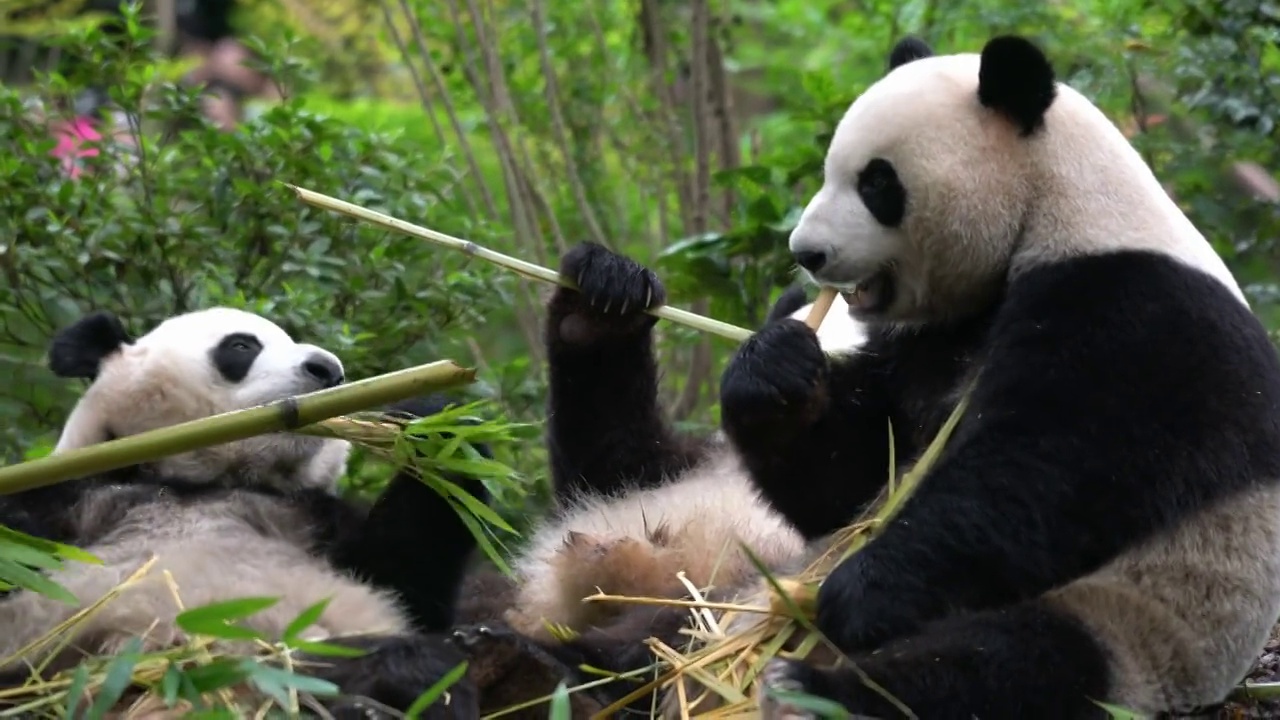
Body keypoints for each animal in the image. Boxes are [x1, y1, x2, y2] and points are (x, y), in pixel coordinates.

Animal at [0, 304, 488, 712]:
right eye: (242, 345)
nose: (329, 370)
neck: (204, 482)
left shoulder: (311, 518)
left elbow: (409, 578)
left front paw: (438, 427)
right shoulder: (77, 497)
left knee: (406, 665)